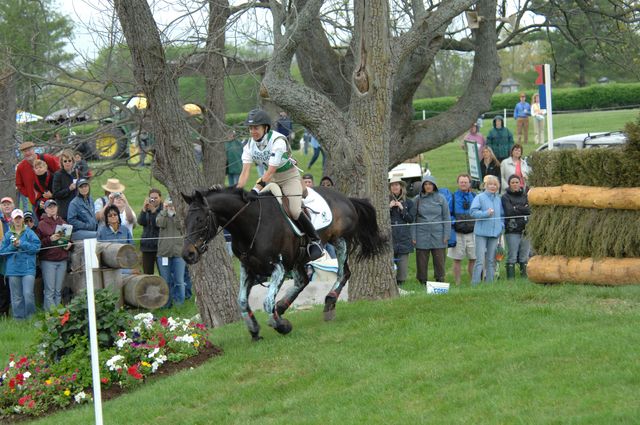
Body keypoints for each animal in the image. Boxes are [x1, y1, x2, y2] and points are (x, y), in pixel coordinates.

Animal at [182, 186, 388, 342]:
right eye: (184, 222)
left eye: (200, 219)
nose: (187, 255)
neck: (250, 226)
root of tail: (345, 198)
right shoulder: (248, 268)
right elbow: (241, 301)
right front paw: (254, 330)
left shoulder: (278, 268)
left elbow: (266, 302)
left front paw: (282, 326)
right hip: (298, 258)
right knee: (303, 280)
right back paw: (281, 308)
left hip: (339, 241)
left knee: (343, 273)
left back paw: (328, 304)